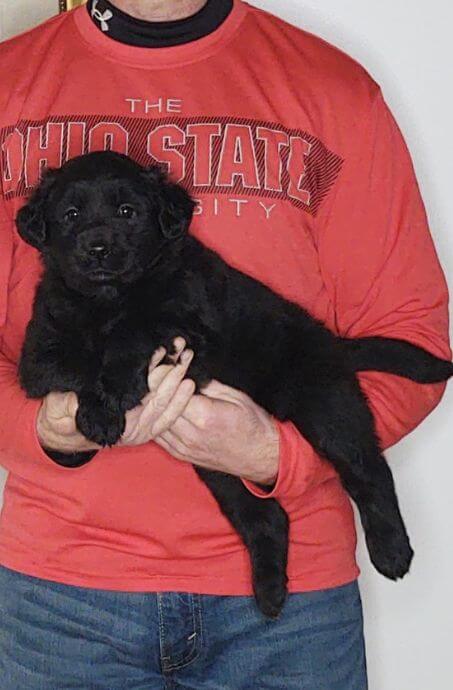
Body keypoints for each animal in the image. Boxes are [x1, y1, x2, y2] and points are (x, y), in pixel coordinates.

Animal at [15, 152, 450, 620]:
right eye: (71, 215)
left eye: (127, 212)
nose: (97, 249)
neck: (106, 301)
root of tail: (333, 341)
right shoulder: (39, 352)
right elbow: (75, 362)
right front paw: (95, 418)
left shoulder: (187, 324)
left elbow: (132, 329)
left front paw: (109, 397)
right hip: (215, 461)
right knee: (266, 516)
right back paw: (271, 592)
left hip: (324, 405)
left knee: (368, 469)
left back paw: (392, 551)